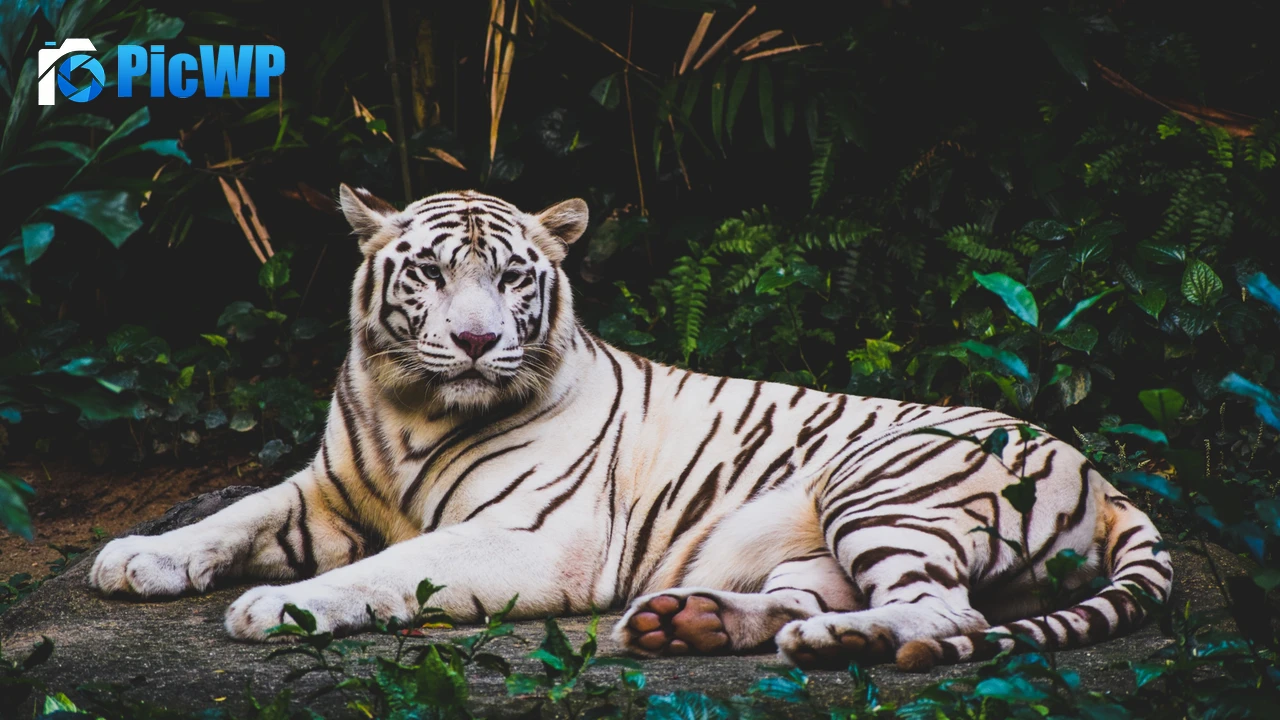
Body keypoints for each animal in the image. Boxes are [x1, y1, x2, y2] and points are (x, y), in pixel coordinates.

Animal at [89, 186, 1173, 672]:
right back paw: (689, 621)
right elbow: (234, 512)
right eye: (430, 273)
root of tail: (1105, 478)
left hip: (882, 485)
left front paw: (278, 608)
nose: (476, 341)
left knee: (948, 614)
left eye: (511, 278)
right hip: (814, 540)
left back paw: (835, 642)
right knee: (822, 596)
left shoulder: (533, 538)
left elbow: (390, 569)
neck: (411, 409)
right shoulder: (325, 488)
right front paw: (137, 557)